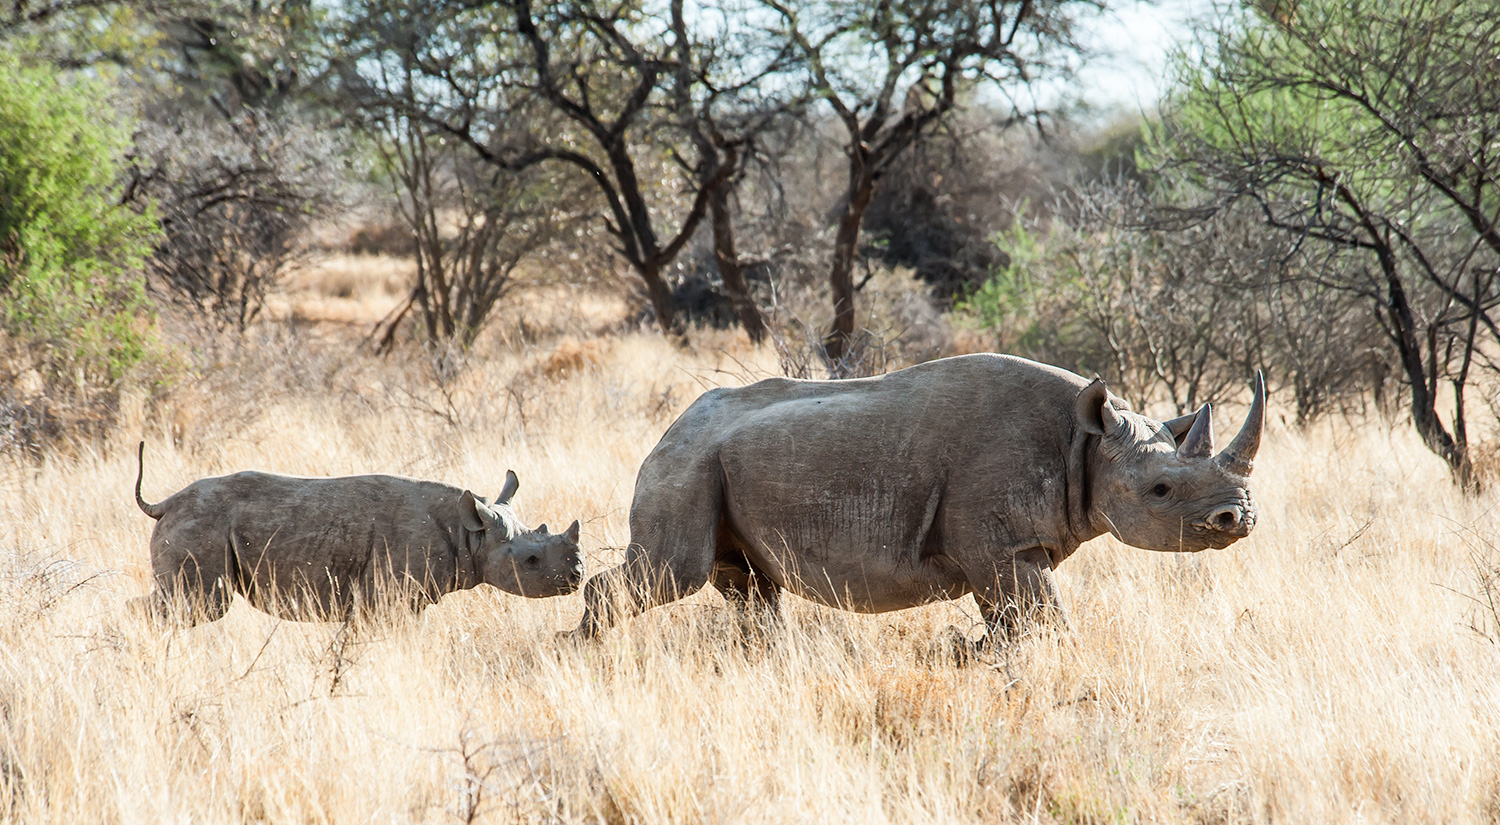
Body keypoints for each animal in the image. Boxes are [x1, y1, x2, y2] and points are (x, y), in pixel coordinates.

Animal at [132, 443, 584, 625]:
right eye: (530, 561)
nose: (576, 577)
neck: (470, 533)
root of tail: (165, 503)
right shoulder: (386, 596)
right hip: (201, 525)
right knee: (200, 606)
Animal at [569, 353, 1264, 650]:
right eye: (1161, 490)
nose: (1239, 517)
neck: (1085, 444)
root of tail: (666, 431)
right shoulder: (1002, 546)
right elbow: (1044, 623)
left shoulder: (1007, 549)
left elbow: (1017, 625)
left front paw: (979, 658)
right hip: (684, 467)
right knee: (674, 574)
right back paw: (582, 652)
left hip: (710, 465)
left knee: (748, 588)